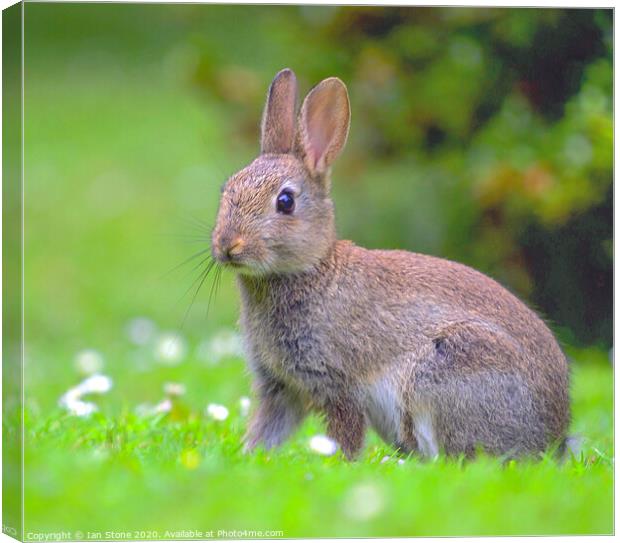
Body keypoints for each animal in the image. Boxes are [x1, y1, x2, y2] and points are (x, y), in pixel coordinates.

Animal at [211, 67, 568, 460]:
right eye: (228, 189)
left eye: (285, 202)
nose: (228, 246)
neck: (310, 269)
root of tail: (554, 438)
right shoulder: (280, 387)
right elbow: (268, 429)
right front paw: (249, 455)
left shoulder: (339, 383)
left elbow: (346, 431)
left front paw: (340, 464)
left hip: (448, 369)